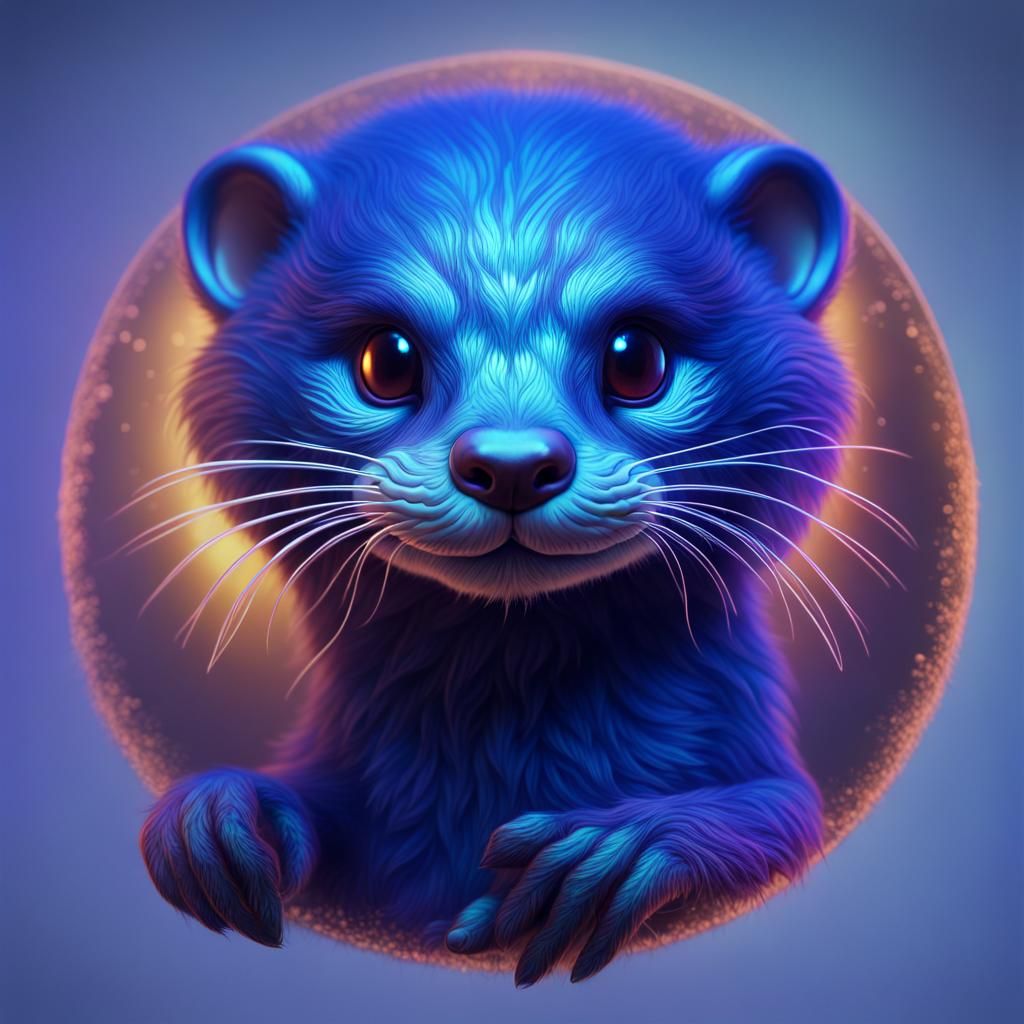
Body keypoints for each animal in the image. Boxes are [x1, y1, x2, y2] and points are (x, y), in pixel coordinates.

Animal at [139, 88, 861, 984]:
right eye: (385, 359)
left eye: (636, 357)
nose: (512, 465)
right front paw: (217, 818)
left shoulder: (771, 780)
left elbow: (781, 817)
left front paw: (620, 848)